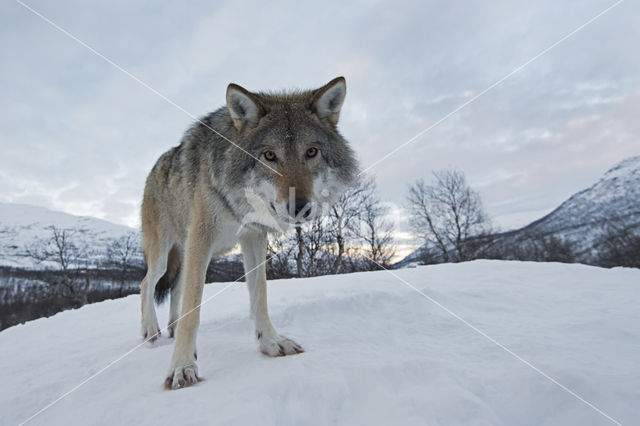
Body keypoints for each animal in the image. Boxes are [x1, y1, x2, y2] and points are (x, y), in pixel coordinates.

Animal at [139, 76, 358, 390]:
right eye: (270, 156)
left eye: (311, 152)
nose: (300, 207)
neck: (240, 200)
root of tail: (157, 164)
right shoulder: (201, 238)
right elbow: (193, 308)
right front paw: (182, 366)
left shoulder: (253, 237)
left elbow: (259, 296)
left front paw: (271, 342)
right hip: (164, 253)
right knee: (147, 282)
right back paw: (150, 331)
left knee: (176, 288)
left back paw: (170, 328)